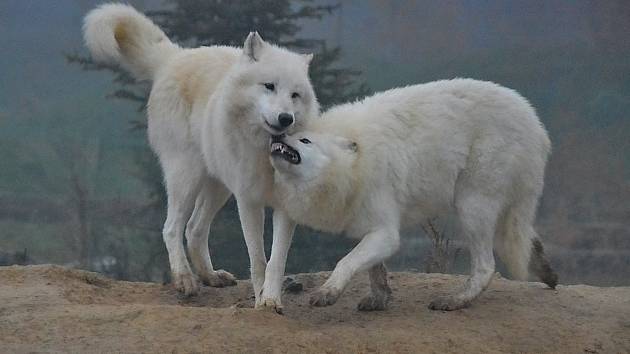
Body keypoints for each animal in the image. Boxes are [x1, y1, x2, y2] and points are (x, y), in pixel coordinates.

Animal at [84, 3, 318, 312]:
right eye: (269, 86)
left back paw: (210, 276)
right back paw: (185, 279)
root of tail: (175, 56)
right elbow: (257, 260)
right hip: (187, 178)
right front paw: (260, 302)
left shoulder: (285, 208)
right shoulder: (248, 202)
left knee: (194, 229)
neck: (265, 153)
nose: (285, 118)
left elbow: (276, 261)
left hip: (218, 187)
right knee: (171, 228)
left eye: (295, 95)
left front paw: (271, 300)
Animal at [270, 78, 556, 310]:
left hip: (471, 203)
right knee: (524, 238)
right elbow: (373, 269)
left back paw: (453, 300)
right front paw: (379, 299)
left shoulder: (386, 230)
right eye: (294, 133)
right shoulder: (364, 221)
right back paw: (547, 272)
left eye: (304, 140)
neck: (355, 165)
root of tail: (538, 129)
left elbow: (347, 261)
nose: (280, 134)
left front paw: (328, 293)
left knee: (487, 266)